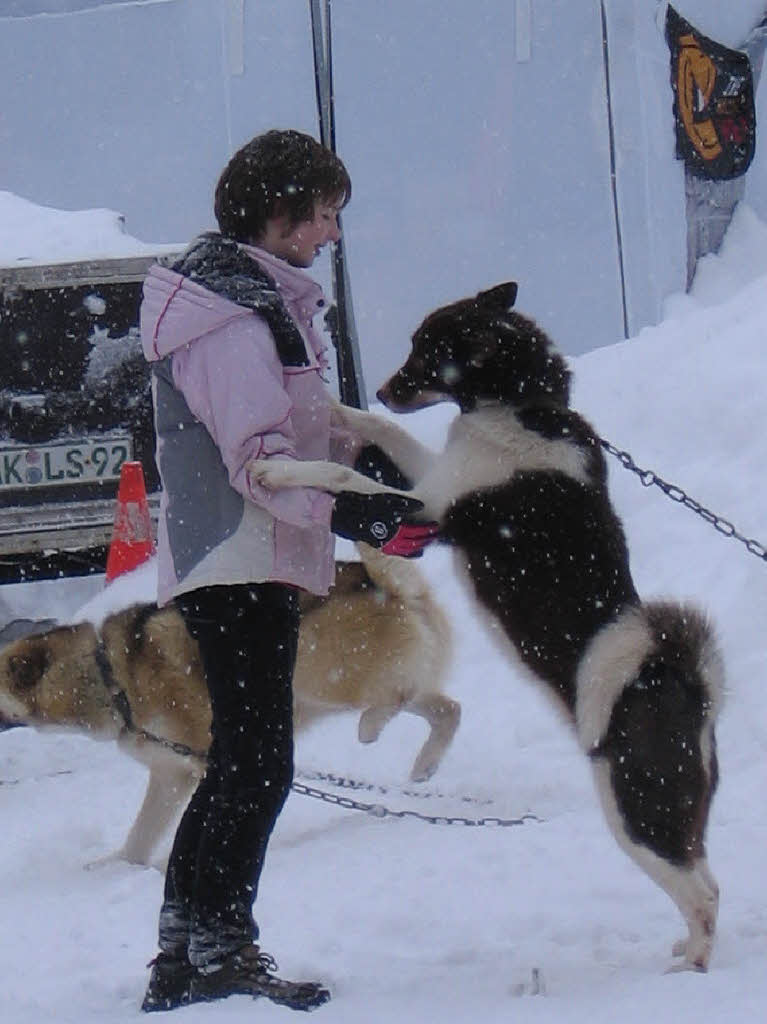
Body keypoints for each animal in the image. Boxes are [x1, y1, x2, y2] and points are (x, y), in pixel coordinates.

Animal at [250, 284, 725, 970]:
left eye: (428, 351)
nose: (383, 387)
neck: (523, 407)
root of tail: (688, 685)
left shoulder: (426, 509)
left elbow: (341, 476)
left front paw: (278, 472)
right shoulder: (429, 477)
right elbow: (384, 432)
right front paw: (336, 404)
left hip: (637, 811)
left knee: (703, 891)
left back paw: (692, 965)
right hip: (667, 815)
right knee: (705, 877)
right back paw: (687, 948)